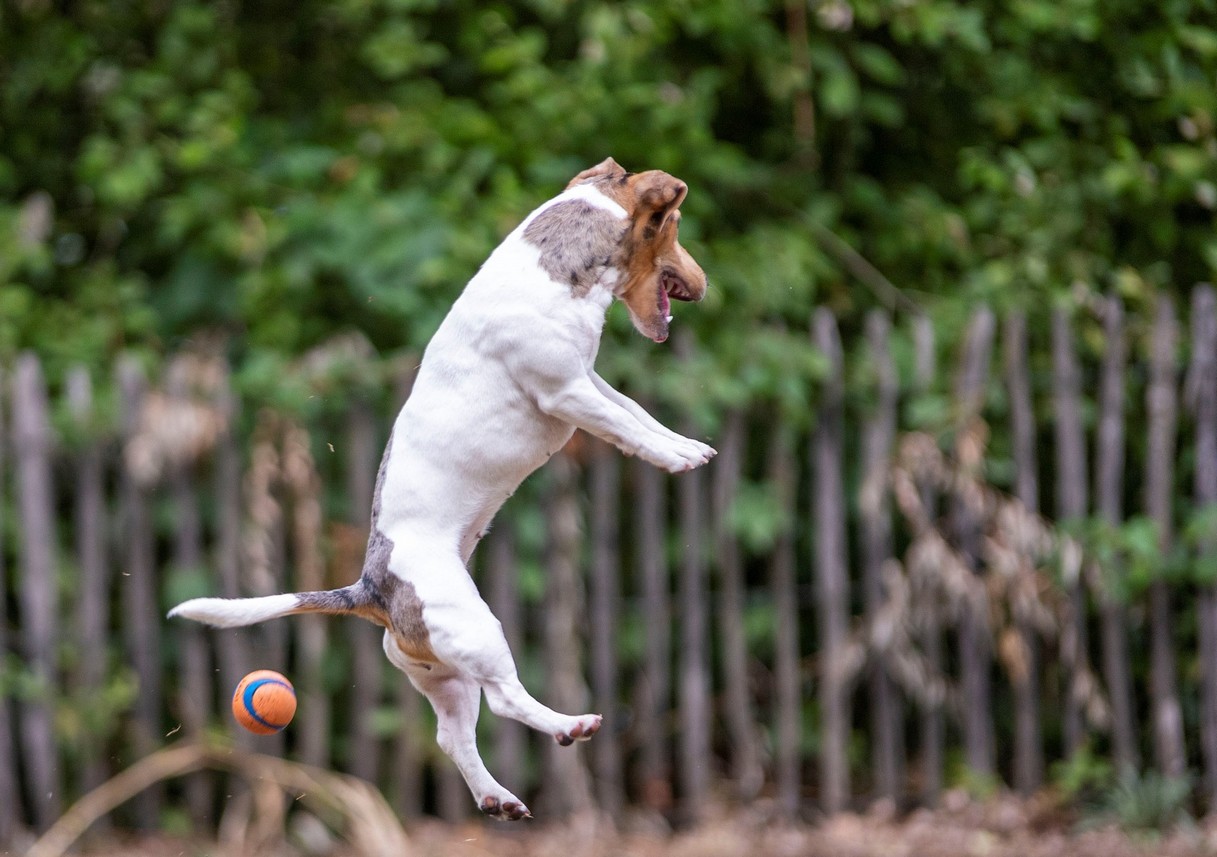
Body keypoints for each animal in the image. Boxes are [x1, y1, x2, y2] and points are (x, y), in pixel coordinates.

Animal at [174, 157, 720, 818]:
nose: (707, 285)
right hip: (477, 631)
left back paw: (497, 798)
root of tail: (370, 590)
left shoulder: (589, 381)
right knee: (507, 700)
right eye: (677, 224)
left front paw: (685, 444)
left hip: (446, 675)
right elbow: (629, 429)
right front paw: (675, 459)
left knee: (452, 736)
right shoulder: (567, 393)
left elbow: (637, 414)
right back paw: (570, 725)